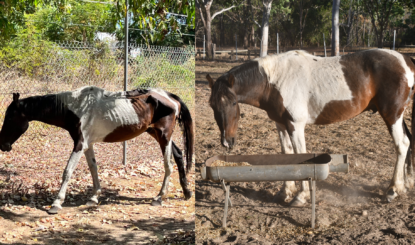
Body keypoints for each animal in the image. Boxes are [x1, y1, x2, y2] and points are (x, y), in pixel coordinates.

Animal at [0, 86, 194, 212]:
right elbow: (93, 168)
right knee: (178, 155)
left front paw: (56, 203)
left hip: (164, 136)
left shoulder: (80, 144)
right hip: (156, 133)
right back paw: (186, 192)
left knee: (168, 165)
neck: (75, 107)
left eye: (9, 117)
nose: (3, 145)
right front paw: (94, 198)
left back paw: (159, 198)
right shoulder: (88, 145)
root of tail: (170, 97)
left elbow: (67, 171)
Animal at [208, 49, 415, 207]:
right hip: (397, 116)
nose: (227, 141)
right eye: (212, 105)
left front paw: (301, 196)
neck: (274, 81)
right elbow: (286, 155)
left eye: (233, 102)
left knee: (402, 144)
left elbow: (300, 156)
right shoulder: (281, 124)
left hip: (392, 115)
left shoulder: (295, 125)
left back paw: (393, 189)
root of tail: (405, 59)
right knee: (408, 142)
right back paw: (405, 184)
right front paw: (285, 192)